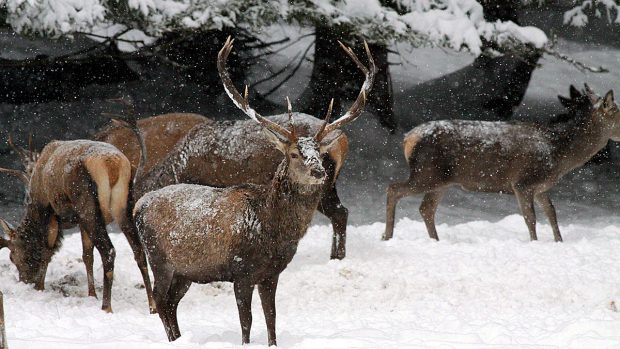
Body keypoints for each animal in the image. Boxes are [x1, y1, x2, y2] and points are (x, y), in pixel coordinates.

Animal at [134, 36, 376, 342]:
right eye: (294, 154)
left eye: (319, 153)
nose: (318, 172)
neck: (271, 230)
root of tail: (139, 205)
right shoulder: (241, 271)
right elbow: (246, 322)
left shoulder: (271, 273)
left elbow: (272, 318)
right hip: (160, 257)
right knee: (160, 299)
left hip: (186, 270)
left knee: (172, 303)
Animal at [382, 84, 620, 242]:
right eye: (619, 113)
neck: (560, 154)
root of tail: (408, 138)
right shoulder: (523, 182)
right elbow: (531, 218)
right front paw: (534, 243)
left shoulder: (541, 187)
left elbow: (552, 214)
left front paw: (559, 242)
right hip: (427, 172)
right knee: (393, 188)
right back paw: (387, 236)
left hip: (441, 180)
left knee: (426, 208)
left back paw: (435, 241)